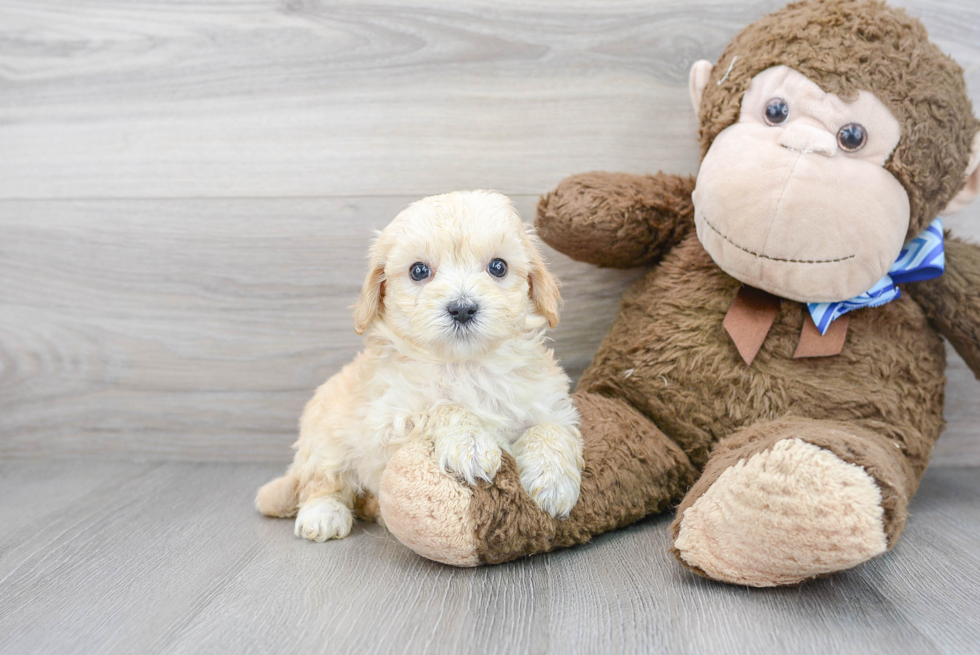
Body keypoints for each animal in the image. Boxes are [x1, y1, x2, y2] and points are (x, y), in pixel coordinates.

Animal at [256, 190, 584, 544]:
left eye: (498, 267)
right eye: (418, 271)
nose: (462, 308)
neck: (467, 365)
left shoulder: (551, 404)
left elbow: (550, 428)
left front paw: (553, 479)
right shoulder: (388, 419)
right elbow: (442, 407)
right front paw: (472, 442)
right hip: (324, 439)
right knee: (323, 483)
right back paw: (323, 515)